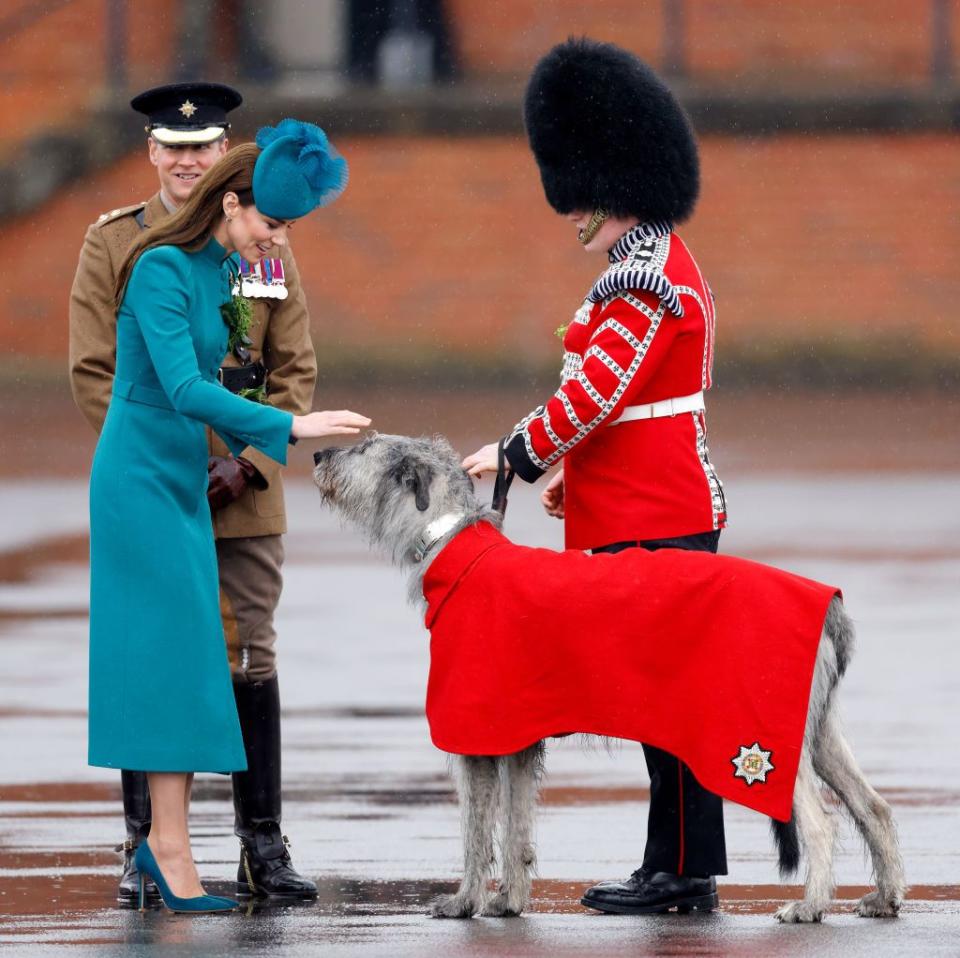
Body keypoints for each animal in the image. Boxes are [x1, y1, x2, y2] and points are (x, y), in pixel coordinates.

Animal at [312, 434, 904, 924]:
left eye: (364, 446)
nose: (317, 453)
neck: (453, 544)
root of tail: (830, 605)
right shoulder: (517, 738)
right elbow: (518, 824)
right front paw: (509, 902)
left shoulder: (475, 732)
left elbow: (476, 832)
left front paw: (464, 902)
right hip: (816, 729)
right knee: (873, 806)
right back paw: (885, 896)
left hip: (765, 735)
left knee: (820, 821)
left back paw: (810, 906)